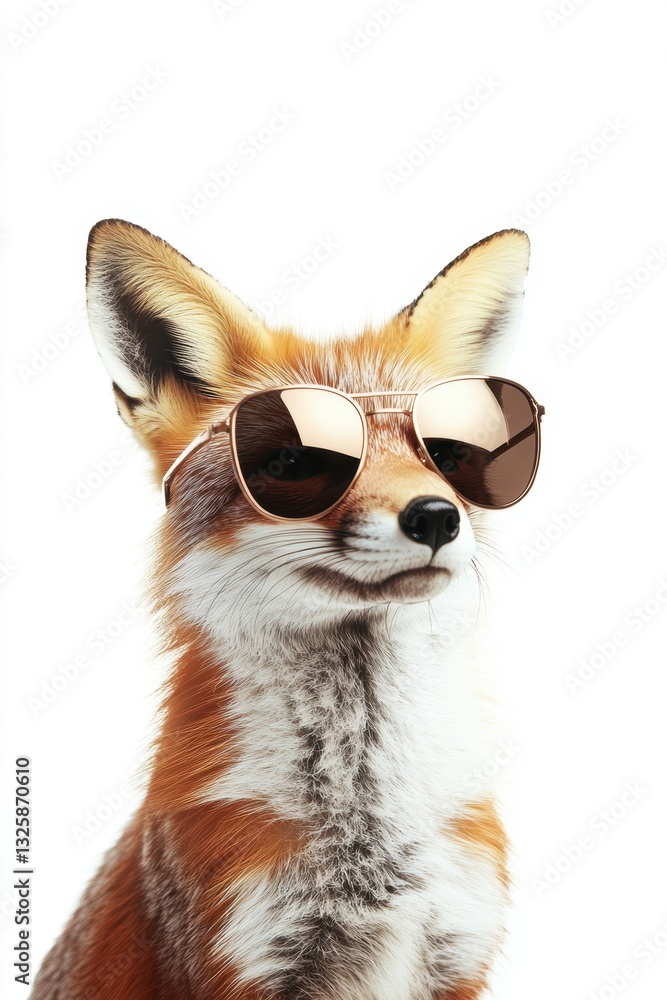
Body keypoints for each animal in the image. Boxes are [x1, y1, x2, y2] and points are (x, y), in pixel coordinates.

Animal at [32, 220, 543, 1000]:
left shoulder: (457, 951)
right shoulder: (242, 957)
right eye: (298, 463)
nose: (436, 518)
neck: (368, 829)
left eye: (448, 454)